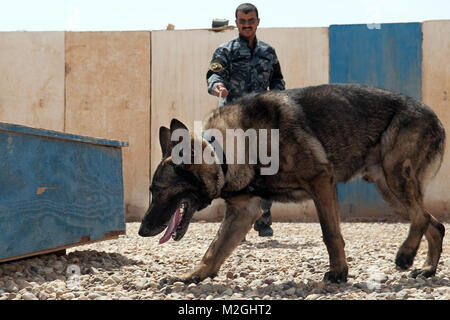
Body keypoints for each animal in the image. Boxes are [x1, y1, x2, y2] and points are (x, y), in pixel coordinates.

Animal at [138, 84, 446, 282]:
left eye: (159, 191)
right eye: (151, 191)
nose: (141, 231)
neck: (226, 150)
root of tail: (433, 115)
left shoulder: (322, 181)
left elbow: (330, 233)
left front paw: (339, 273)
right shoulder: (243, 211)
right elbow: (214, 249)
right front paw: (194, 276)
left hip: (395, 176)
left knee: (421, 217)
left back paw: (405, 255)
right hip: (389, 190)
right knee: (434, 224)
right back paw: (427, 269)